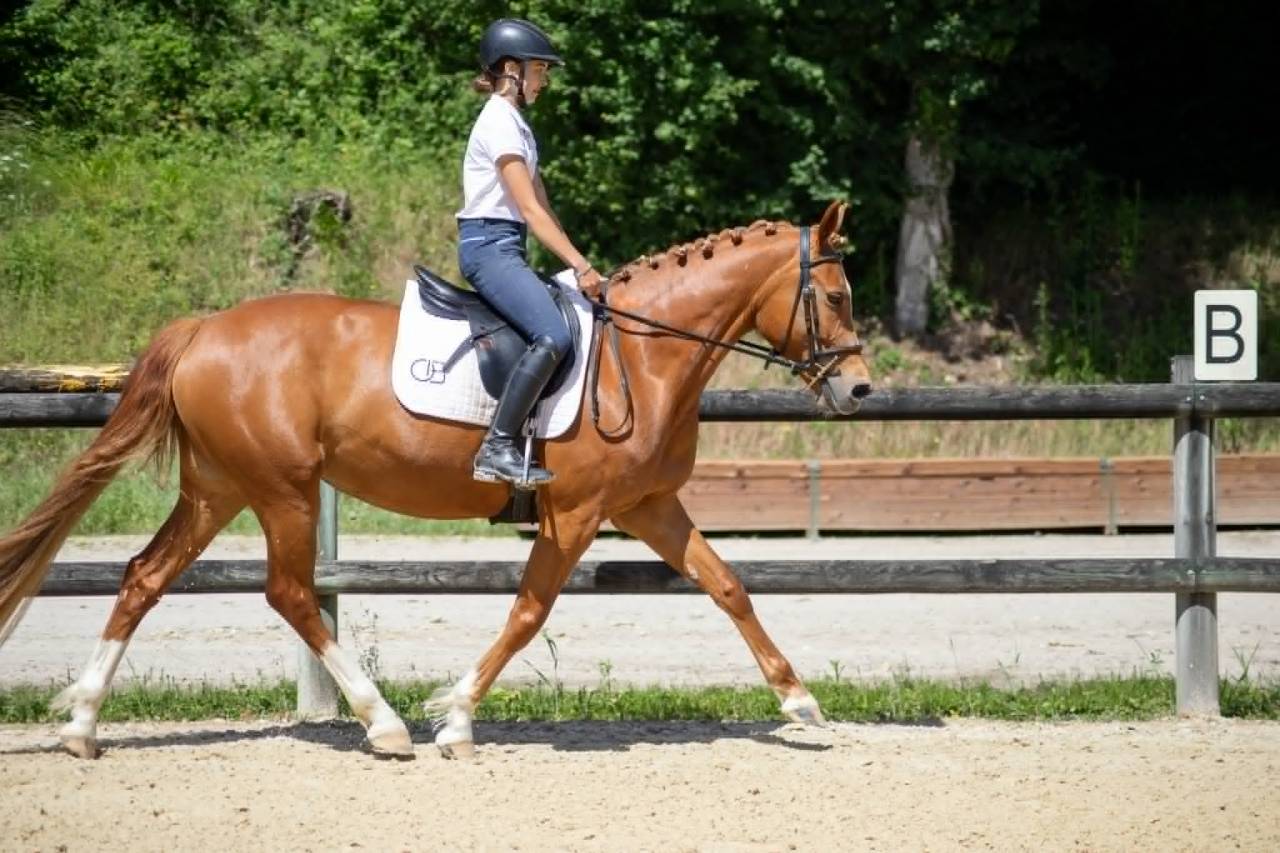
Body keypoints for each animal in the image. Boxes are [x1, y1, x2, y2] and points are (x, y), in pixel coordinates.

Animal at [0, 200, 872, 759]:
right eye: (834, 296)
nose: (860, 388)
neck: (645, 355)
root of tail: (205, 328)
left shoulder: (648, 505)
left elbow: (728, 585)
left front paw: (800, 700)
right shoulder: (575, 512)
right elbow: (528, 611)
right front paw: (453, 718)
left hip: (219, 486)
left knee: (145, 575)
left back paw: (81, 726)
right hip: (282, 488)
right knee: (290, 592)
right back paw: (383, 724)